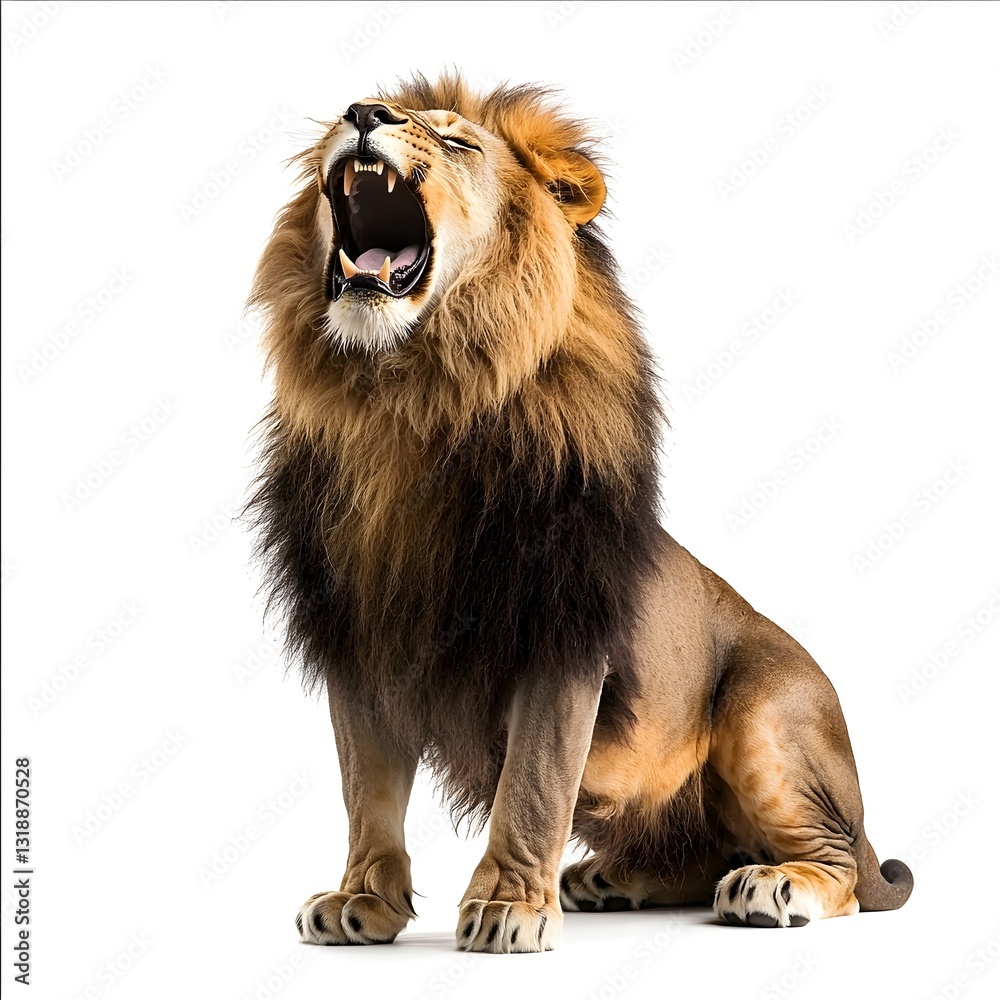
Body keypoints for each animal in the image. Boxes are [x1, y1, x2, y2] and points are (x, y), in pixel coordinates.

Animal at [247, 73, 912, 954]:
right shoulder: (357, 635)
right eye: (355, 113)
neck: (404, 406)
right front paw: (365, 899)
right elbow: (368, 790)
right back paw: (609, 877)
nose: (361, 115)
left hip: (766, 714)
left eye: (456, 141)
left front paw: (508, 908)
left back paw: (775, 885)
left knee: (838, 866)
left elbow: (532, 783)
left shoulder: (559, 632)